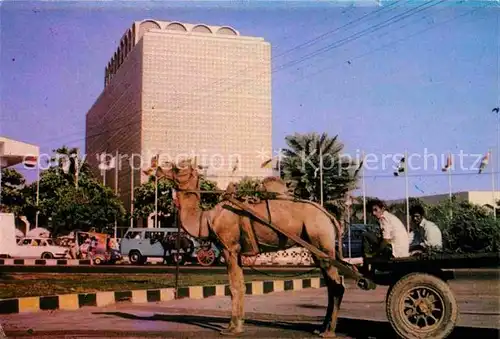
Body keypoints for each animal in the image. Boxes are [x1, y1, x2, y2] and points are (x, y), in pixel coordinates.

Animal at [157, 161, 348, 338]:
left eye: (177, 168)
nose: (158, 169)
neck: (206, 219)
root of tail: (330, 217)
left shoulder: (229, 248)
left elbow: (234, 287)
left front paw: (232, 329)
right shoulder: (237, 252)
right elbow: (240, 285)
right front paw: (236, 325)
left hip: (320, 240)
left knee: (337, 285)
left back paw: (329, 331)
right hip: (319, 249)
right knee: (331, 285)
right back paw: (321, 328)